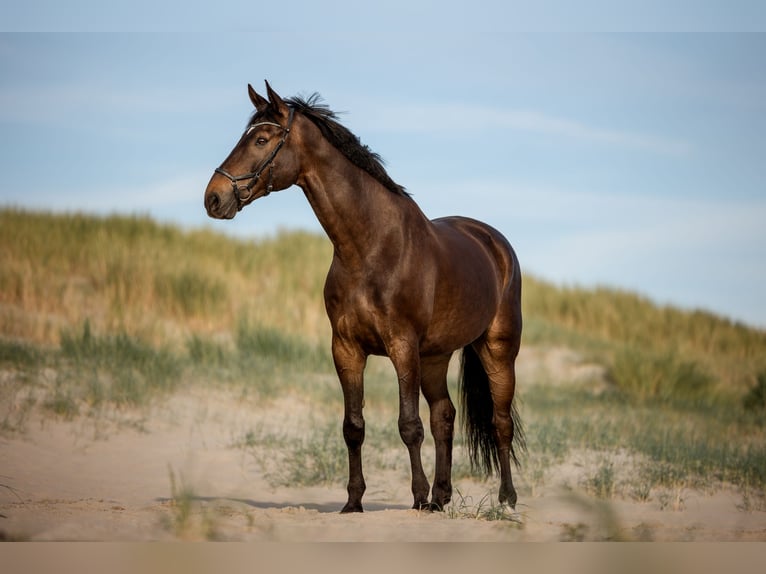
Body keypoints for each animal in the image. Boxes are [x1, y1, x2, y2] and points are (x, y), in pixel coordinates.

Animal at [204, 80, 528, 512]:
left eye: (260, 139)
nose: (214, 198)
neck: (370, 247)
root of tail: (493, 241)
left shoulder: (402, 346)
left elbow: (408, 425)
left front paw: (417, 498)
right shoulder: (346, 349)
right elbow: (353, 426)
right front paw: (354, 502)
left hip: (497, 349)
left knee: (499, 421)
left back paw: (505, 499)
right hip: (435, 356)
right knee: (444, 416)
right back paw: (441, 497)